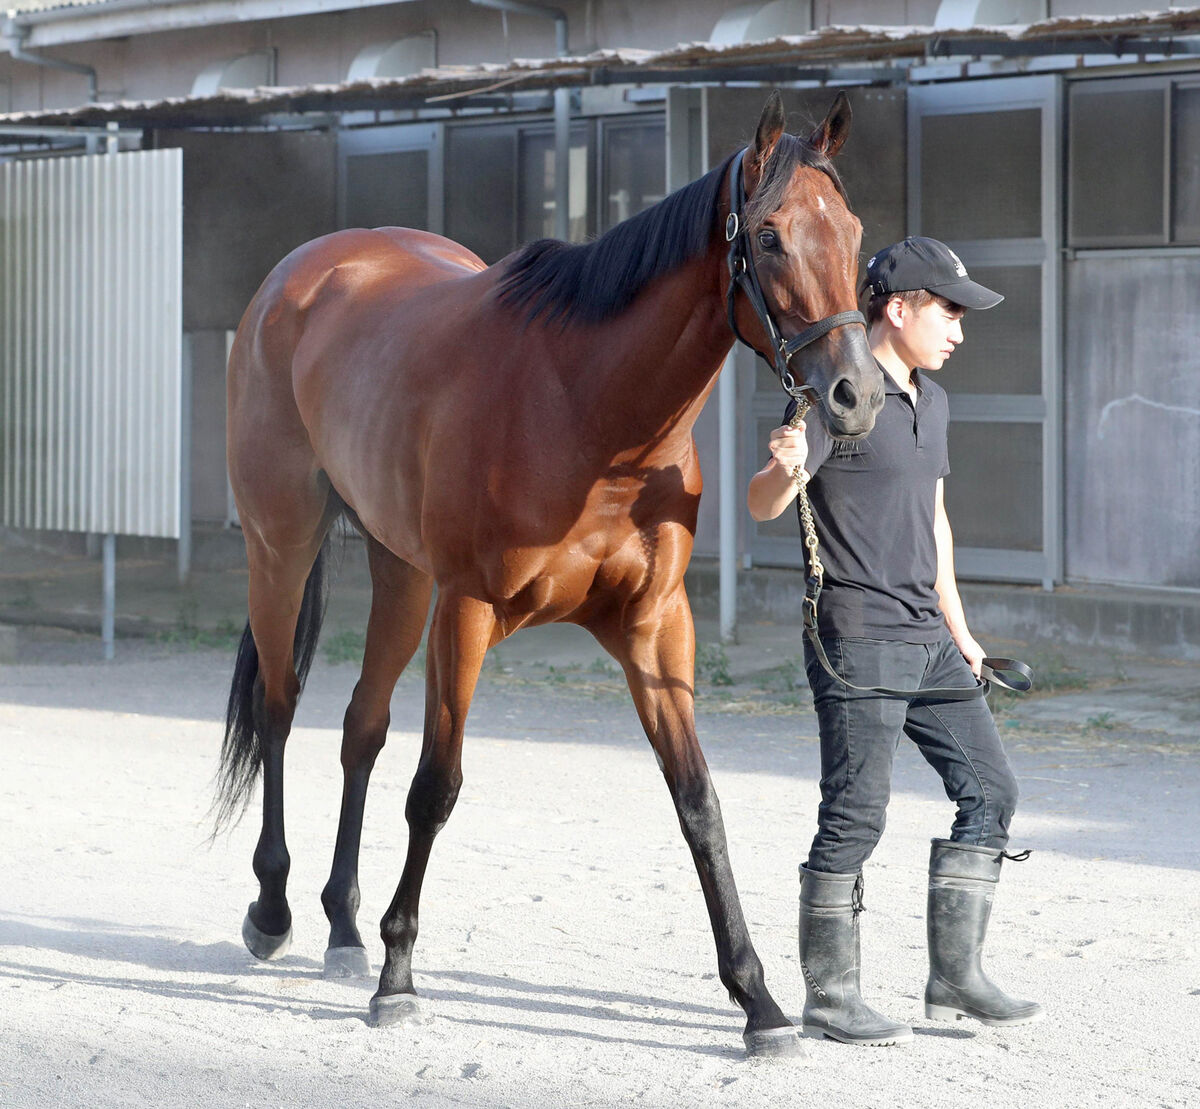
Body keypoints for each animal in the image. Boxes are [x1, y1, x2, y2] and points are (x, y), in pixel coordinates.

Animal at [216, 88, 888, 1056]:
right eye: (767, 237)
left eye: (853, 230)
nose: (856, 395)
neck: (582, 404)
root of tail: (301, 274)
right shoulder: (465, 613)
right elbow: (436, 788)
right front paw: (399, 977)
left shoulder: (655, 627)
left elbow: (699, 801)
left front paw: (757, 998)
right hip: (283, 541)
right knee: (278, 708)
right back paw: (273, 910)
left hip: (400, 573)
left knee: (360, 728)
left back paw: (341, 924)